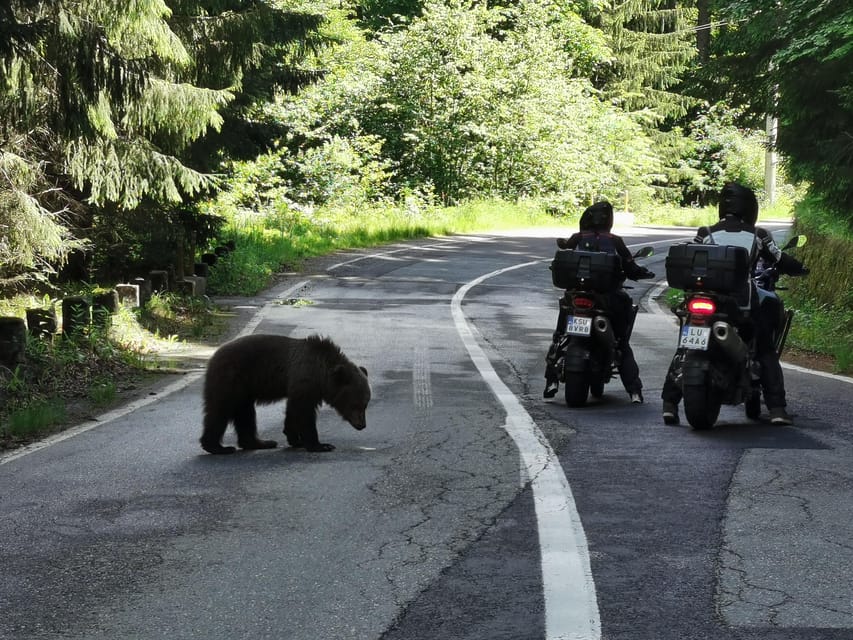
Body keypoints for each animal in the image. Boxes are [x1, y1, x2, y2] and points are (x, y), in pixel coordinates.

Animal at [203, 336, 372, 456]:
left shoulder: (305, 387)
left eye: (366, 404)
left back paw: (261, 443)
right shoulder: (305, 379)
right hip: (231, 379)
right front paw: (321, 445)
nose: (362, 425)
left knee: (245, 414)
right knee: (219, 411)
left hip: (244, 390)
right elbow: (304, 413)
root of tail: (213, 357)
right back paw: (217, 447)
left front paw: (295, 439)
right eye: (356, 404)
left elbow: (293, 411)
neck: (322, 374)